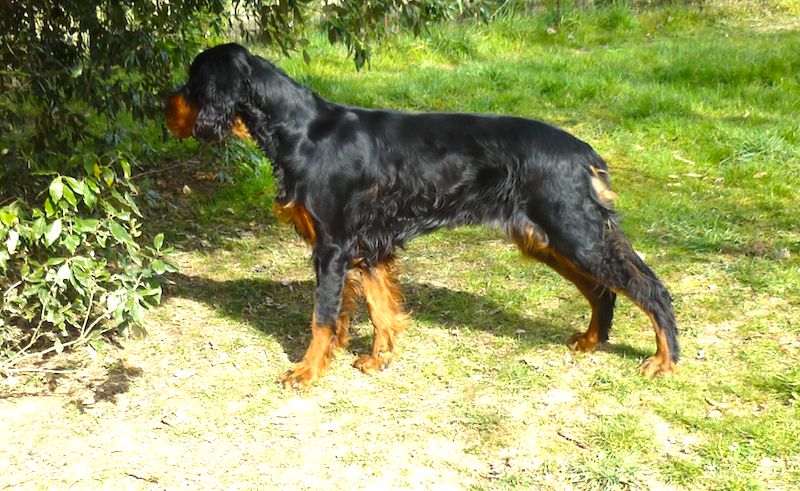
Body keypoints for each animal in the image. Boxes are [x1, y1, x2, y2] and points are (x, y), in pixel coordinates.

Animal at [166, 43, 680, 388]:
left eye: (192, 82)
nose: (162, 107)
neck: (303, 131)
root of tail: (584, 154)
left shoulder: (332, 248)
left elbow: (323, 317)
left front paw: (308, 371)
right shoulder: (367, 246)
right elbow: (379, 309)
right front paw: (377, 358)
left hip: (574, 232)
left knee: (648, 287)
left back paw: (664, 359)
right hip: (548, 238)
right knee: (602, 289)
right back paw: (592, 341)